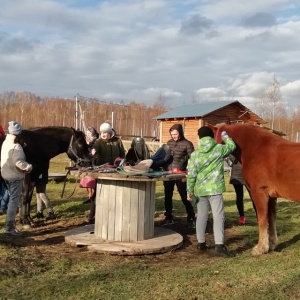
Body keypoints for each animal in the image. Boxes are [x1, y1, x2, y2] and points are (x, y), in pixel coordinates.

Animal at [211, 123, 300, 256]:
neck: (256, 148)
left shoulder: (259, 192)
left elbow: (262, 218)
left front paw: (260, 248)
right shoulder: (272, 196)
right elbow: (271, 218)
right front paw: (271, 244)